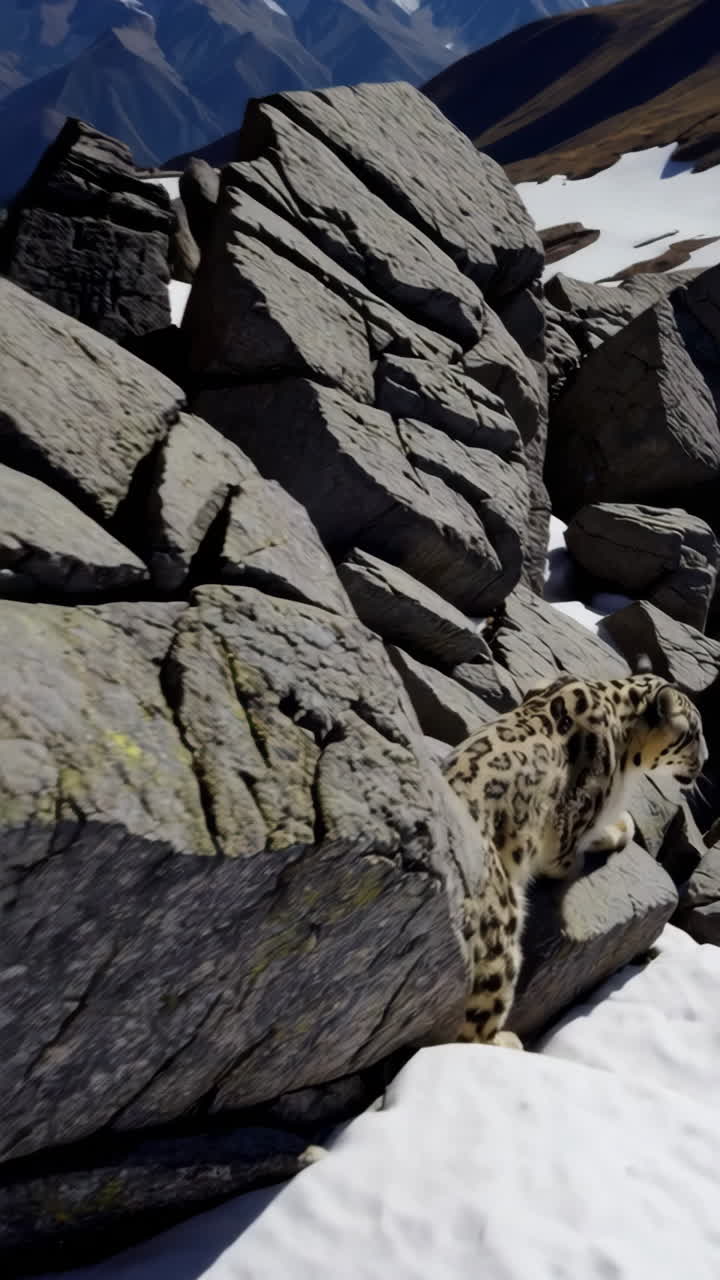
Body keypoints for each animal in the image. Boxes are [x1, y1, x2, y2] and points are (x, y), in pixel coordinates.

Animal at [442, 670, 708, 1051]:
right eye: (695, 733)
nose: (706, 759)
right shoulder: (566, 834)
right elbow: (575, 849)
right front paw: (619, 827)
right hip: (499, 928)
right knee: (474, 1028)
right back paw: (509, 1040)